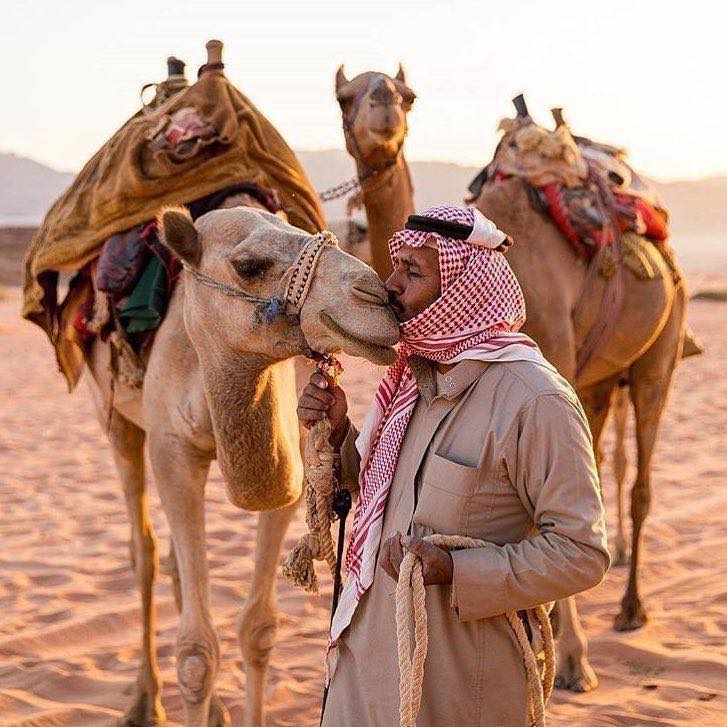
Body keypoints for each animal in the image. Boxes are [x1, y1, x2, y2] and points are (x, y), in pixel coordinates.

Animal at [85, 198, 399, 726]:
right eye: (249, 265)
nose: (379, 297)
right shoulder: (171, 450)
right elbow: (195, 654)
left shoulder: (290, 458)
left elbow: (259, 629)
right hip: (116, 420)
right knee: (143, 552)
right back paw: (144, 701)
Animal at [471, 108, 687, 693]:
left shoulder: (553, 371)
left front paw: (571, 661)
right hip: (599, 379)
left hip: (659, 350)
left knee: (639, 482)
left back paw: (632, 609)